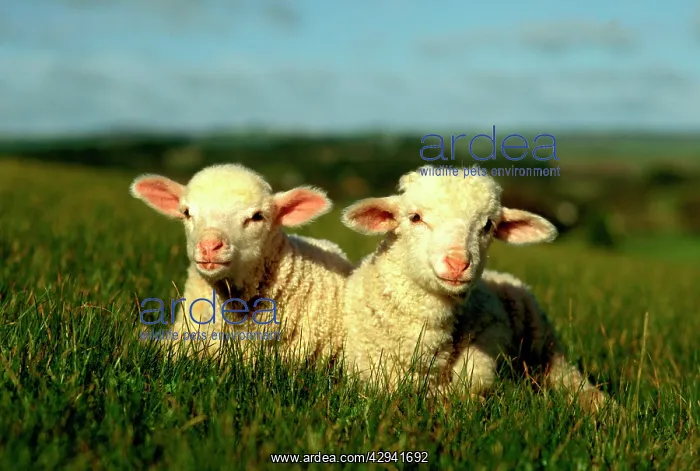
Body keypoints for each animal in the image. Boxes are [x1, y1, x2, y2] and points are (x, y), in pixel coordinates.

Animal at [340, 165, 609, 412]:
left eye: (488, 225)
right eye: (415, 217)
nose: (458, 263)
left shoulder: (491, 331)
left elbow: (472, 378)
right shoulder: (372, 370)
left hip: (543, 340)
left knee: (565, 374)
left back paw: (598, 402)